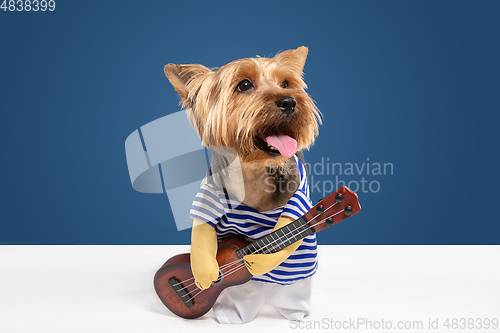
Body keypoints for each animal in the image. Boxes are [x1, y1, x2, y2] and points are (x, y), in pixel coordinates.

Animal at [163, 46, 320, 322]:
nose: (289, 101)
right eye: (244, 85)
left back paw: (295, 312)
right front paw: (206, 274)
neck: (252, 171)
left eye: (286, 83)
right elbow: (202, 229)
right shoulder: (209, 194)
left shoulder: (299, 199)